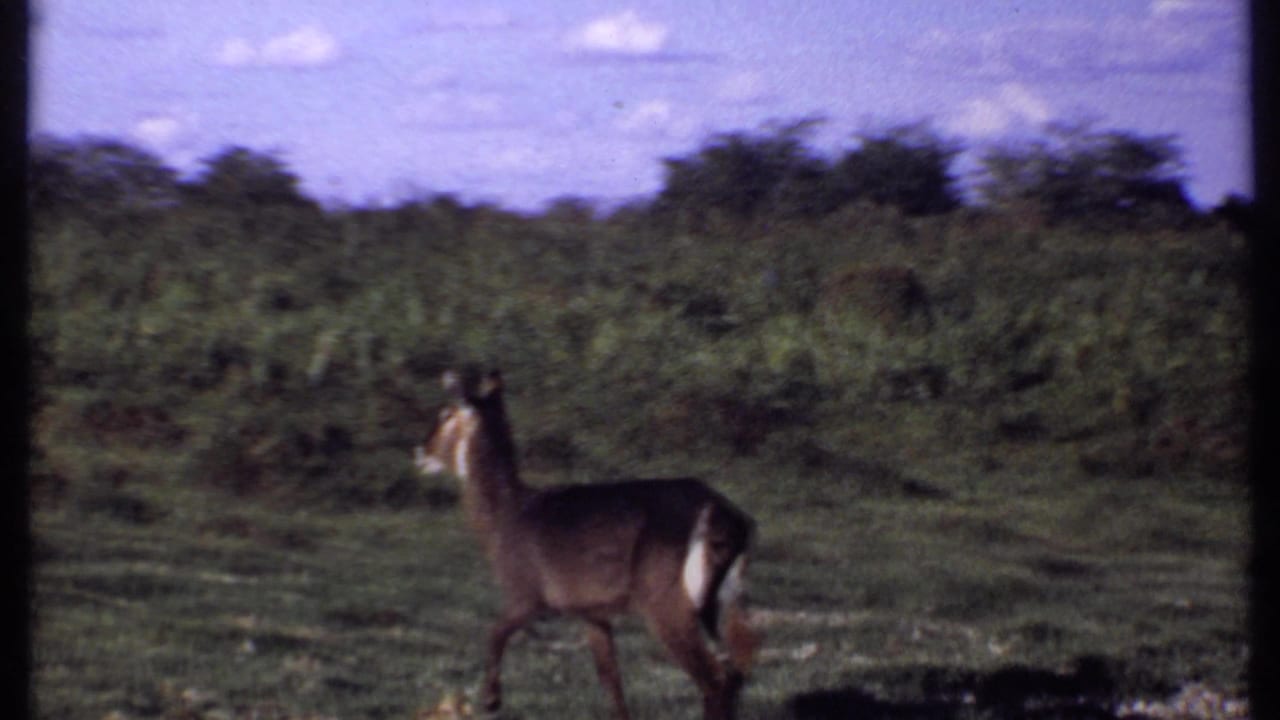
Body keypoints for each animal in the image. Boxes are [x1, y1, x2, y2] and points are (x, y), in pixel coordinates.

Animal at [414, 370, 759, 720]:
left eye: (446, 414)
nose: (420, 451)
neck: (507, 515)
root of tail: (724, 515)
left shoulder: (529, 596)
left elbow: (494, 632)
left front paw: (491, 700)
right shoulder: (591, 612)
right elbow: (611, 681)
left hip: (668, 606)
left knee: (714, 681)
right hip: (726, 604)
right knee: (735, 675)